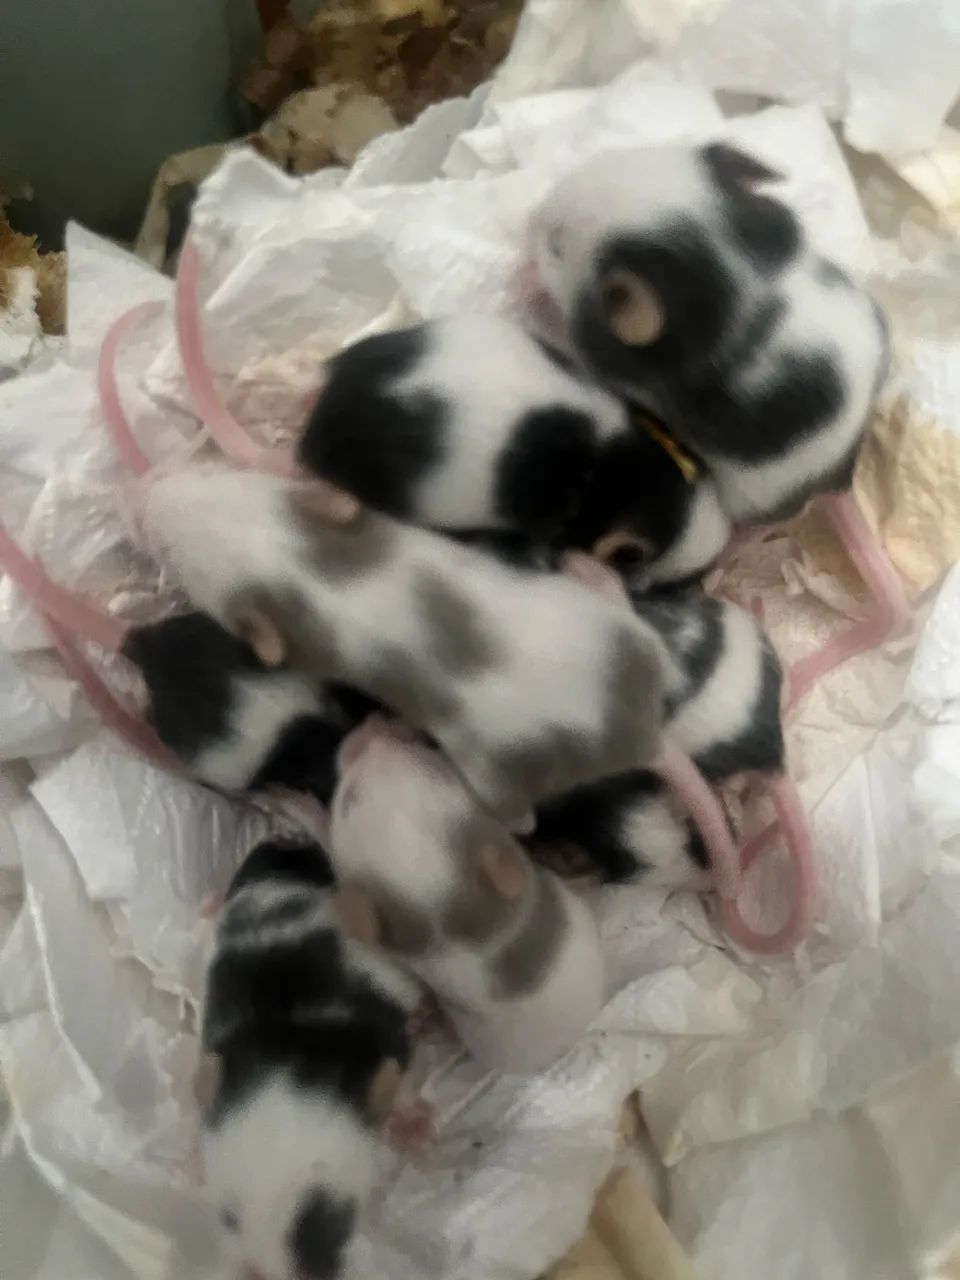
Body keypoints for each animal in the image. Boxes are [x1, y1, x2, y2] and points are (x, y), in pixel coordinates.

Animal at [138, 462, 671, 824]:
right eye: (213, 473)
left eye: (176, 555)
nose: (145, 489)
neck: (309, 570)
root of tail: (639, 731)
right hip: (605, 625)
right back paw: (597, 576)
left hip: (493, 772)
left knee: (522, 821)